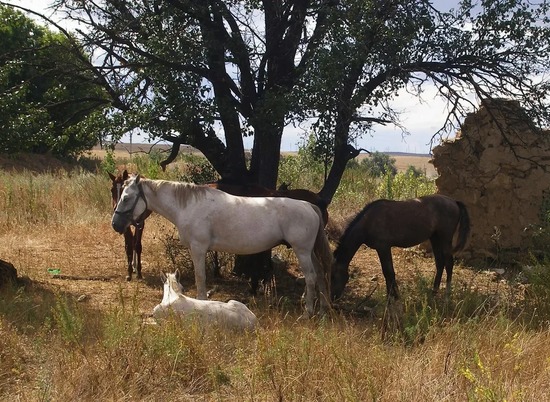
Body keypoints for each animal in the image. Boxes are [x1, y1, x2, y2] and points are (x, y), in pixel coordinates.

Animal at [113, 175, 332, 318]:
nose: (115, 224)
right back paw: (322, 310)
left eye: (126, 197)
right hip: (310, 252)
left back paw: (308, 313)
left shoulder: (198, 249)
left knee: (311, 277)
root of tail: (310, 206)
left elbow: (200, 280)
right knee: (321, 274)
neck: (189, 206)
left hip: (302, 251)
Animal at [330, 195, 472, 302]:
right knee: (440, 263)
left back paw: (447, 295)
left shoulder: (383, 247)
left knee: (449, 263)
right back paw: (434, 292)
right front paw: (391, 295)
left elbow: (389, 272)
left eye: (333, 276)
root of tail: (454, 201)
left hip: (445, 239)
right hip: (435, 238)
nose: (332, 298)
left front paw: (393, 296)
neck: (369, 221)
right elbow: (388, 273)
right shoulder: (382, 248)